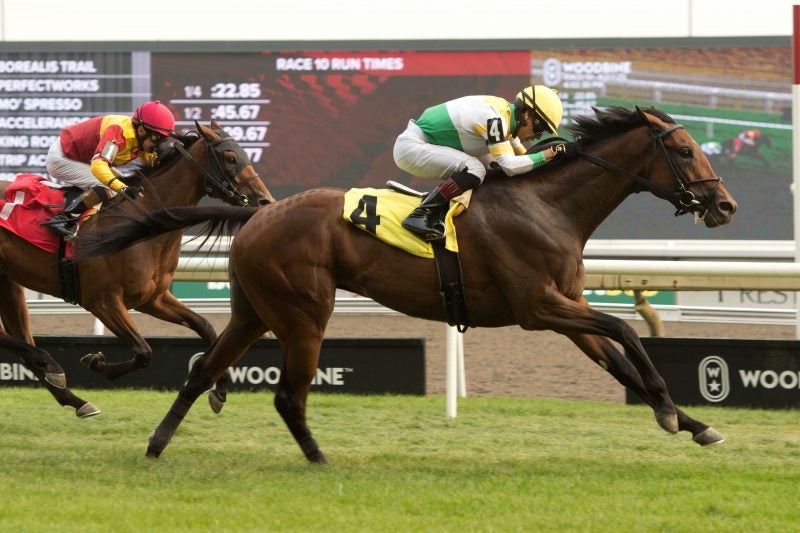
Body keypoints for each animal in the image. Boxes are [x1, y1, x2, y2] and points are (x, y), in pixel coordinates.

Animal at [0, 121, 274, 417]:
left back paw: (75, 398)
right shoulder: (103, 301)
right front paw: (97, 363)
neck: (140, 226)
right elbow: (144, 352)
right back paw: (51, 365)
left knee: (22, 343)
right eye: (230, 157)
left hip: (9, 283)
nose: (265, 201)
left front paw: (219, 390)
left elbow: (206, 327)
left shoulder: (152, 298)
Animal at [75, 106, 737, 462]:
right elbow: (627, 329)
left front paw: (692, 423)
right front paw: (673, 411)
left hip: (254, 311)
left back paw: (157, 442)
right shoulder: (540, 306)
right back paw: (319, 458)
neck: (548, 207)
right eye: (684, 149)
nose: (724, 205)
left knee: (203, 371)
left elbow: (619, 361)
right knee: (287, 395)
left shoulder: (564, 306)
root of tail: (260, 213)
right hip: (303, 313)